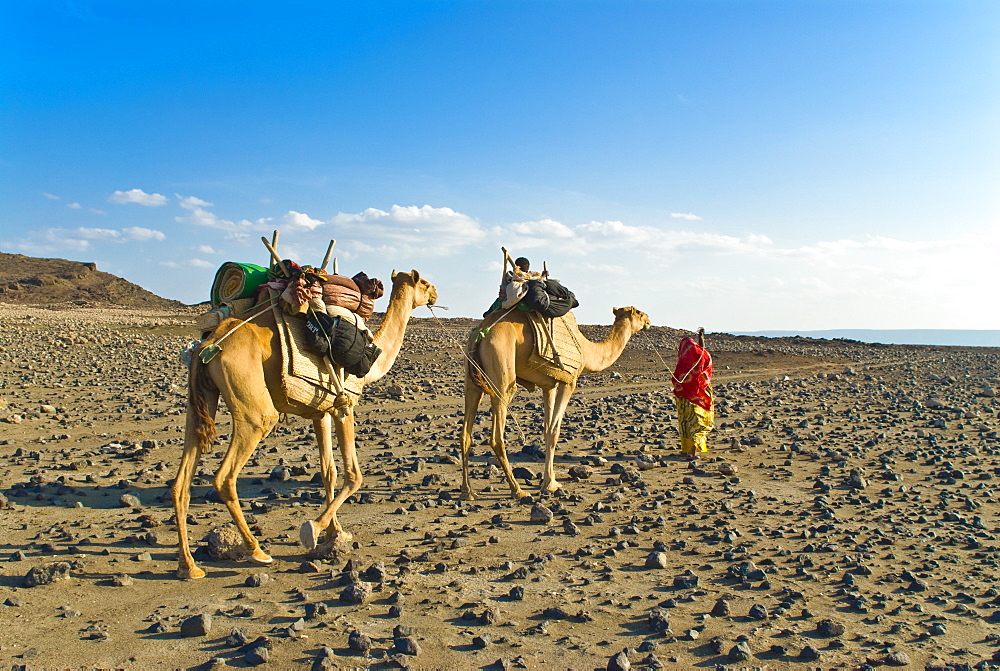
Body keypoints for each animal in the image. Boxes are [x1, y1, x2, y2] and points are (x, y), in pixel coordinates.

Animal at [170, 270, 436, 580]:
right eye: (424, 283)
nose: (435, 294)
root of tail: (208, 344)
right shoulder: (345, 406)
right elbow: (353, 475)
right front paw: (313, 529)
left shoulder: (321, 412)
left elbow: (329, 472)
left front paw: (336, 532)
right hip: (254, 410)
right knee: (226, 476)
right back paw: (256, 551)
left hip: (200, 400)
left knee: (182, 481)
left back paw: (188, 566)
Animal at [458, 308, 648, 502]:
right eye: (640, 313)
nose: (648, 321)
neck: (585, 350)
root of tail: (480, 335)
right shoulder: (569, 382)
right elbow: (555, 431)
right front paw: (550, 484)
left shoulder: (549, 385)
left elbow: (548, 429)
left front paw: (548, 481)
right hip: (502, 374)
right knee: (496, 436)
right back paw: (517, 489)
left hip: (471, 380)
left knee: (465, 434)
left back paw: (467, 491)